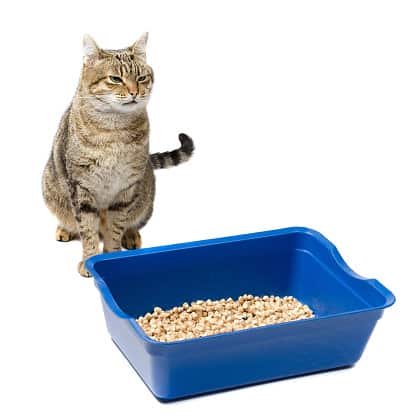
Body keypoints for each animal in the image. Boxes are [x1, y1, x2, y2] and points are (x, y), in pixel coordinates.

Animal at [41, 34, 195, 276]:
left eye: (141, 77)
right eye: (115, 79)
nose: (134, 92)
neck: (114, 131)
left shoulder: (126, 188)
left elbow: (115, 227)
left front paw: (111, 255)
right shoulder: (81, 187)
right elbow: (87, 229)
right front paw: (90, 259)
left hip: (146, 197)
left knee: (133, 221)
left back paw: (131, 236)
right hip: (49, 186)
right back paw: (64, 229)